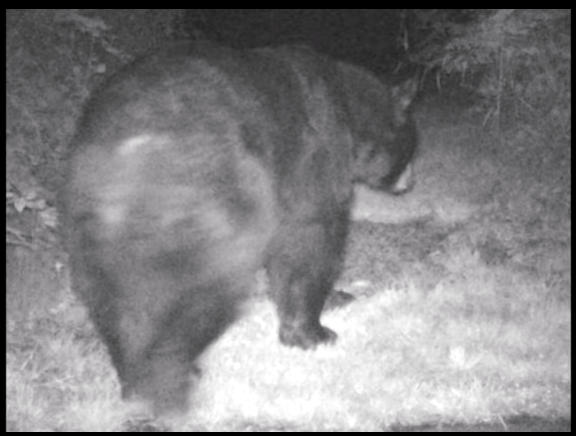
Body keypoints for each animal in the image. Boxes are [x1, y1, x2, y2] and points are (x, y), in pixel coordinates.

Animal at [60, 41, 416, 416]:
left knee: (114, 305)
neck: (349, 111)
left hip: (87, 230)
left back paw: (136, 380)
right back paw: (171, 379)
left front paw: (336, 298)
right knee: (201, 289)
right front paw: (313, 333)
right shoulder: (313, 161)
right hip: (213, 208)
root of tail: (129, 152)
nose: (410, 182)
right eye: (412, 146)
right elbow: (310, 240)